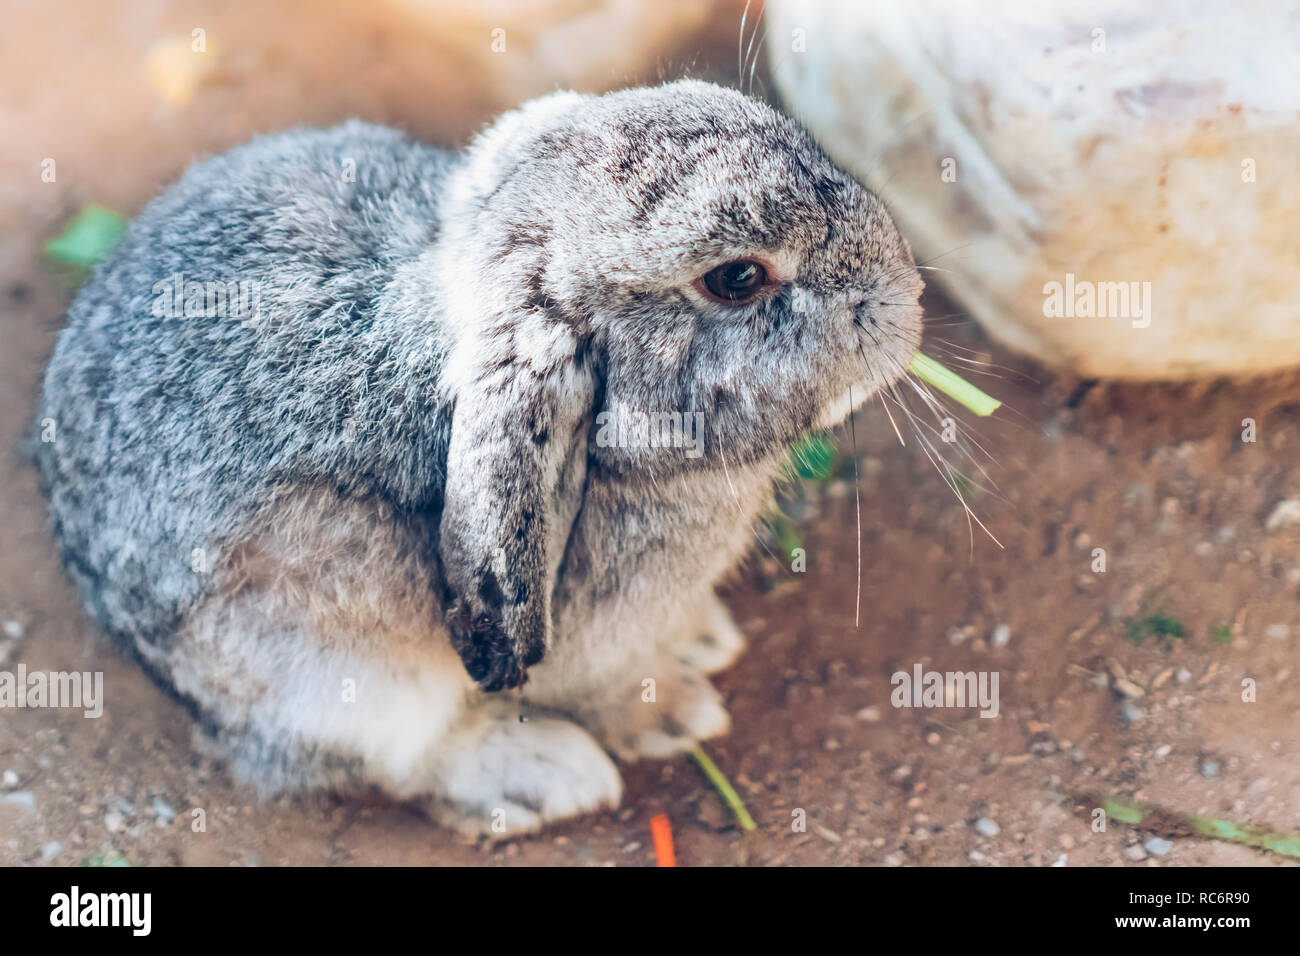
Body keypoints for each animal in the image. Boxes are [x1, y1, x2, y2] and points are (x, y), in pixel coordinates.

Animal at [34, 79, 923, 835]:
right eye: (737, 278)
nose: (907, 300)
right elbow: (605, 691)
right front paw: (673, 713)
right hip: (334, 669)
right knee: (386, 757)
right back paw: (539, 773)